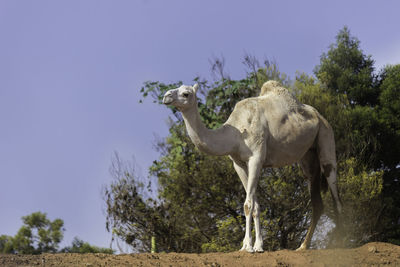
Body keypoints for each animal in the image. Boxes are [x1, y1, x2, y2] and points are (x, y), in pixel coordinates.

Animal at [162, 80, 344, 252]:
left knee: (336, 195)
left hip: (326, 136)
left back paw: (339, 244)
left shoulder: (256, 158)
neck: (235, 134)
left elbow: (248, 204)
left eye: (186, 94)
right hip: (308, 157)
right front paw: (255, 245)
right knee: (317, 200)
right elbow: (255, 205)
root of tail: (319, 116)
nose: (166, 96)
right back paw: (303, 246)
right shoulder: (239, 163)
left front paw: (249, 247)